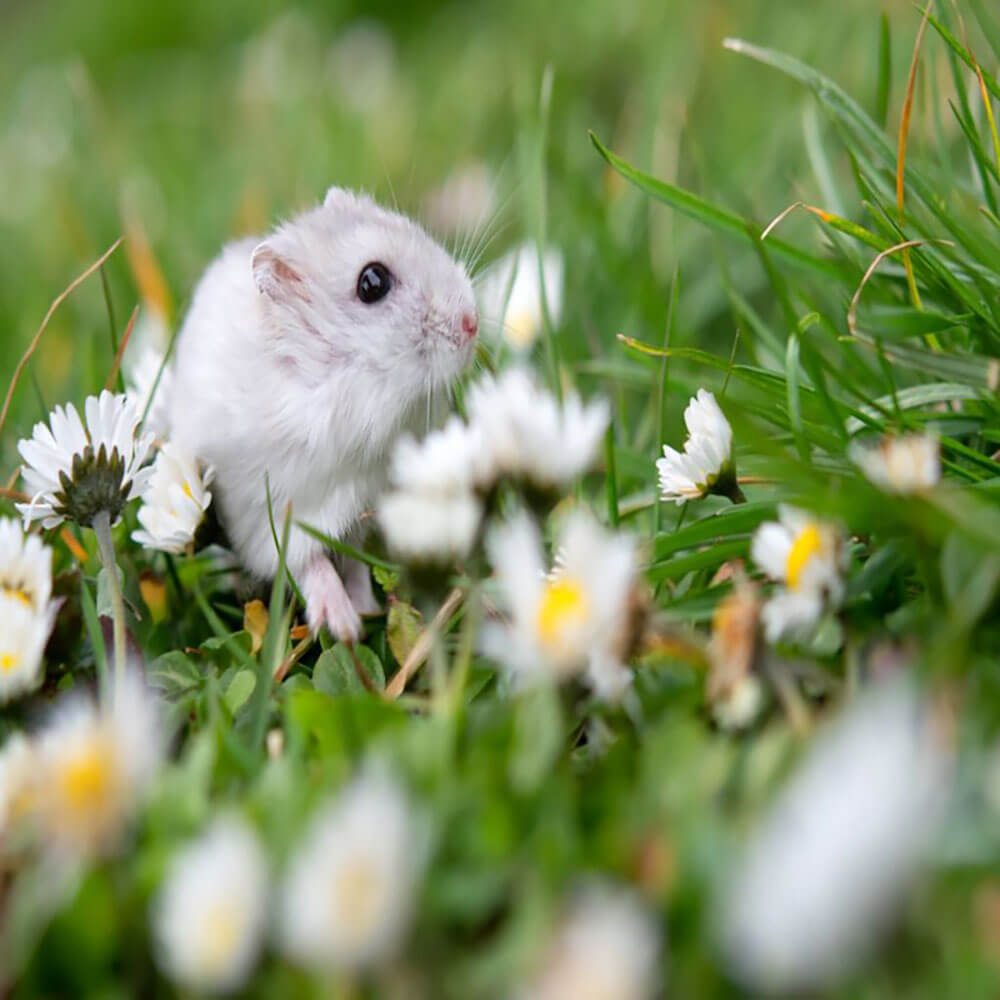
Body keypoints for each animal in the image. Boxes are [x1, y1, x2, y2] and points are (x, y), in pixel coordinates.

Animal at [169, 187, 480, 636]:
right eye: (372, 282)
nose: (473, 323)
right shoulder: (277, 517)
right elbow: (310, 564)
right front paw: (344, 626)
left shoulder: (362, 508)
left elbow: (352, 561)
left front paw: (367, 610)